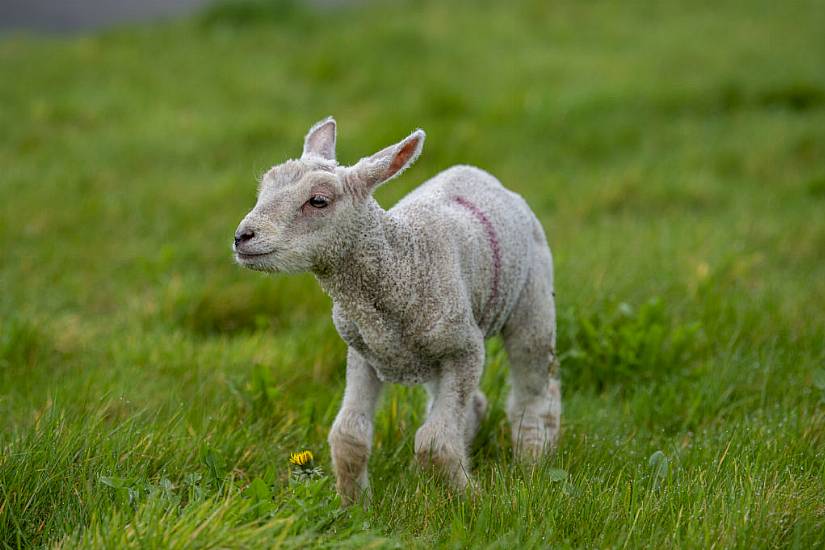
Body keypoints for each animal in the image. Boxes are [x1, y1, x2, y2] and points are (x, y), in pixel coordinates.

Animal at [235, 118, 564, 506]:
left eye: (318, 201)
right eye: (264, 188)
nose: (242, 237)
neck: (403, 264)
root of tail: (480, 174)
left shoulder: (464, 350)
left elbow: (434, 443)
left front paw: (470, 498)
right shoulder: (364, 352)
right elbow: (348, 436)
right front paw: (354, 506)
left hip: (532, 299)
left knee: (534, 391)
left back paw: (533, 458)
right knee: (472, 405)